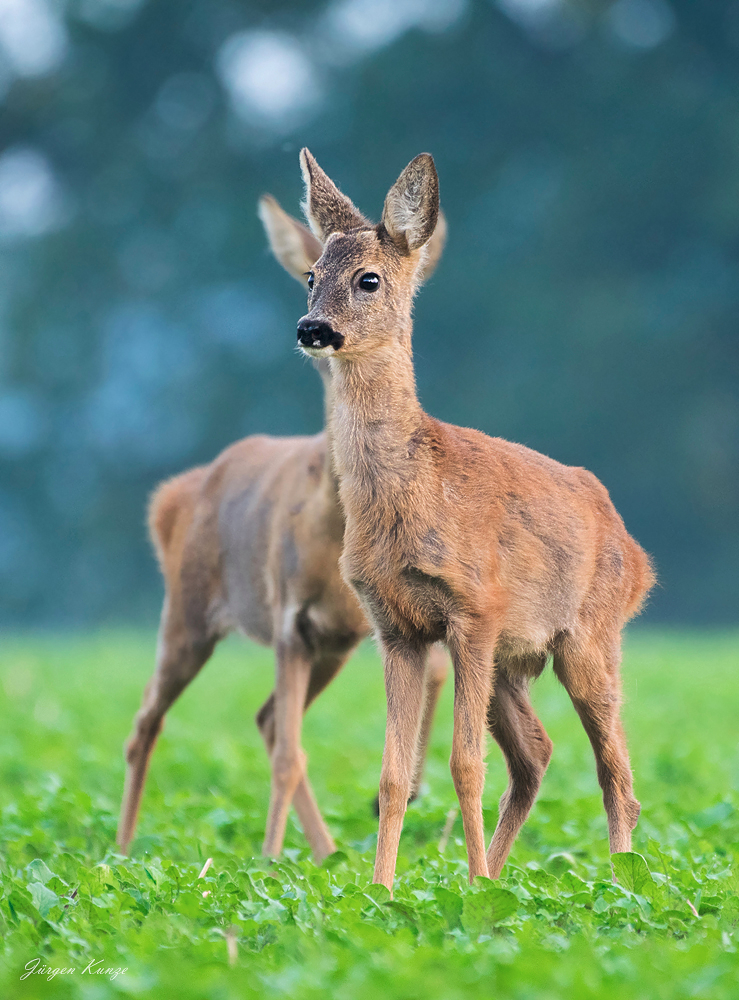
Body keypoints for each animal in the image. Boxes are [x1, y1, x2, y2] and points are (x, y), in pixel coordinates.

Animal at [116, 193, 450, 860]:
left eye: (372, 281)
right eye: (308, 278)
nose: (315, 333)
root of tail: (175, 498)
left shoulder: (365, 622)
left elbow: (434, 676)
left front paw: (404, 797)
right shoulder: (290, 619)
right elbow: (291, 755)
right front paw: (267, 865)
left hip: (326, 650)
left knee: (266, 721)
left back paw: (326, 853)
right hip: (188, 613)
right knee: (148, 724)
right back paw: (122, 853)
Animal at [292, 146, 656, 892]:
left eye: (368, 279)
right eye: (310, 276)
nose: (313, 329)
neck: (411, 493)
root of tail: (638, 556)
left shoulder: (474, 612)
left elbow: (462, 764)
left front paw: (452, 889)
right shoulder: (397, 628)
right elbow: (394, 774)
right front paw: (382, 890)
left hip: (589, 634)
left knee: (614, 771)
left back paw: (617, 885)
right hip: (516, 661)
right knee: (538, 753)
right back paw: (493, 875)